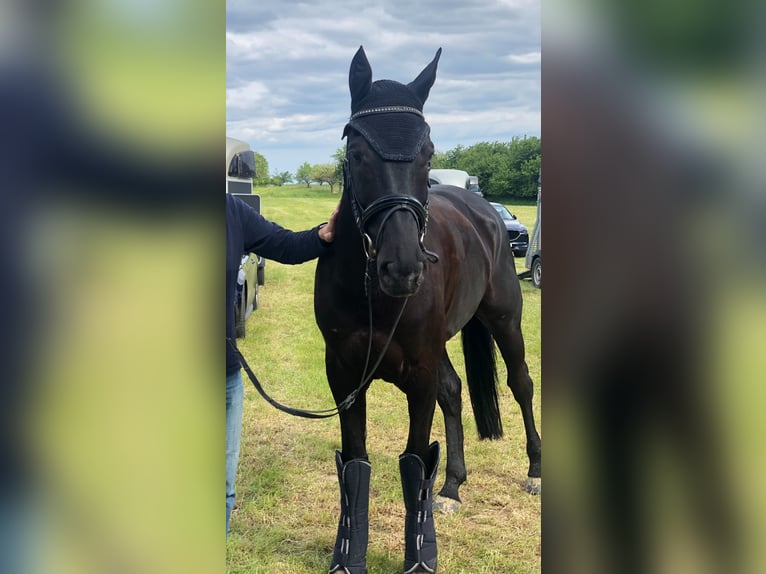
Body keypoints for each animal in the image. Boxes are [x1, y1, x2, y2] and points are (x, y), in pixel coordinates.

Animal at [314, 46, 541, 574]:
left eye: (429, 154)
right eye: (357, 155)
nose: (403, 268)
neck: (372, 294)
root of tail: (485, 213)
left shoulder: (417, 370)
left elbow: (415, 459)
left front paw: (419, 555)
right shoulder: (344, 374)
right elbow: (355, 461)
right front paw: (347, 557)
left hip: (505, 320)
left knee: (520, 383)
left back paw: (535, 470)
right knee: (454, 392)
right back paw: (452, 487)